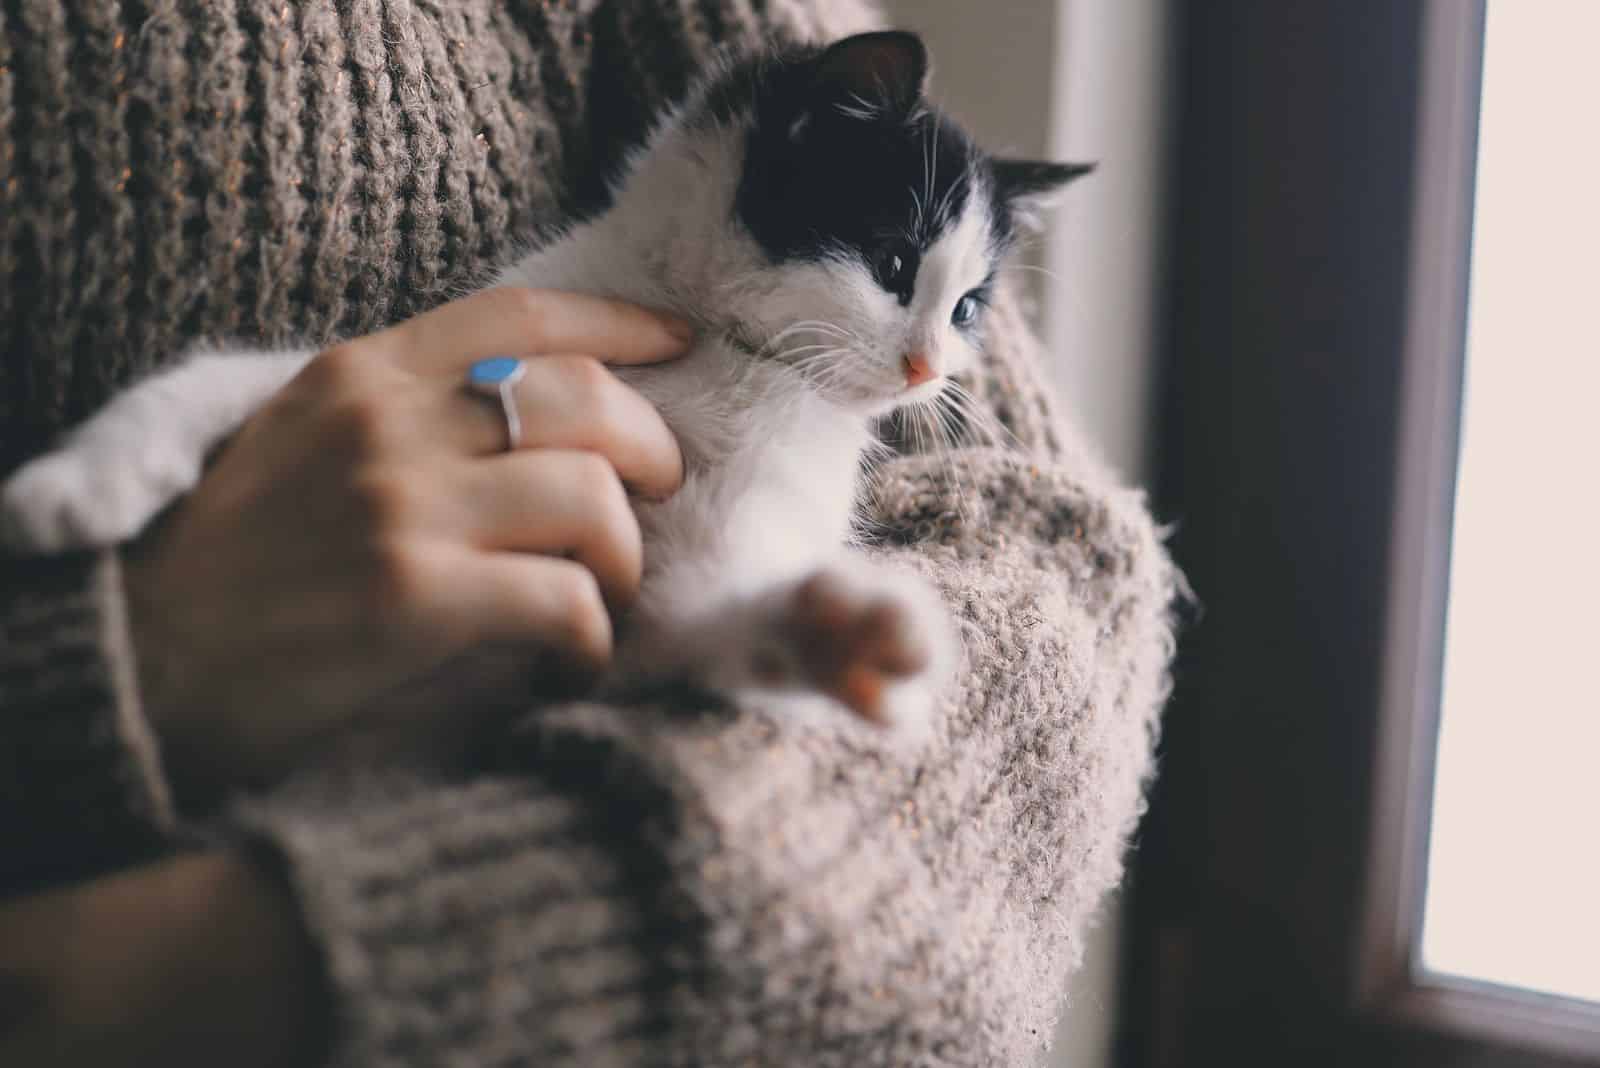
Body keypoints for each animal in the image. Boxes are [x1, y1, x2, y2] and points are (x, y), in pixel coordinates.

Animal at [0, 33, 1088, 735]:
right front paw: (77, 484)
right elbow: (239, 374)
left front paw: (841, 636)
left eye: (968, 308)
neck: (729, 353)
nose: (927, 368)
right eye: (894, 262)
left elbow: (689, 619)